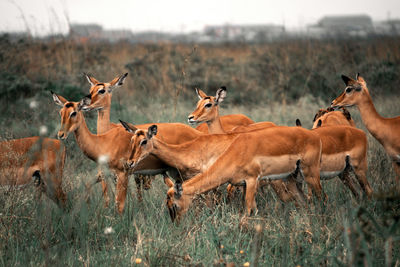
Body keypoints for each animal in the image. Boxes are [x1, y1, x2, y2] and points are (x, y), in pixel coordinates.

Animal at [52, 93, 203, 215]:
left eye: (73, 113)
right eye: (60, 112)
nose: (61, 134)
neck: (103, 141)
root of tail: (199, 133)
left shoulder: (123, 174)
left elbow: (120, 205)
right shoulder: (108, 174)